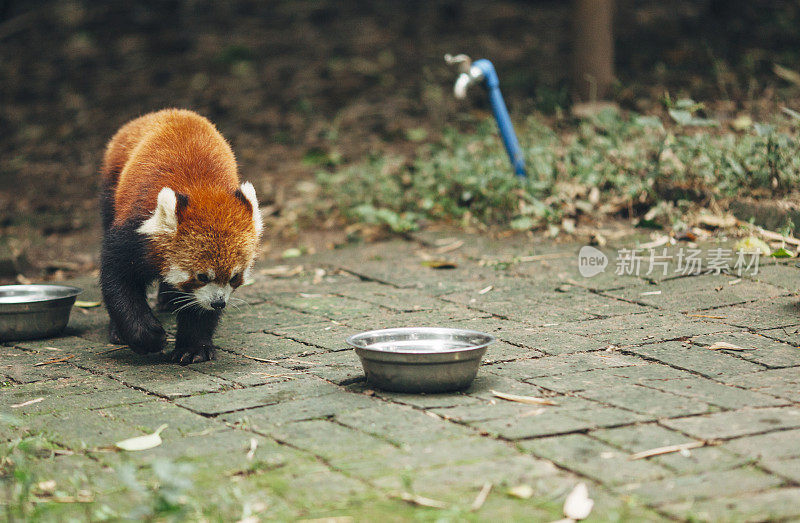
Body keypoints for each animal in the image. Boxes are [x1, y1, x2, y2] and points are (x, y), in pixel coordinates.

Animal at [99, 109, 262, 364]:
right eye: (202, 276)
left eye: (235, 277)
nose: (219, 303)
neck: (202, 190)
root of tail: (166, 112)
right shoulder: (132, 232)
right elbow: (118, 281)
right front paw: (146, 336)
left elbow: (198, 308)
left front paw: (193, 347)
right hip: (112, 185)